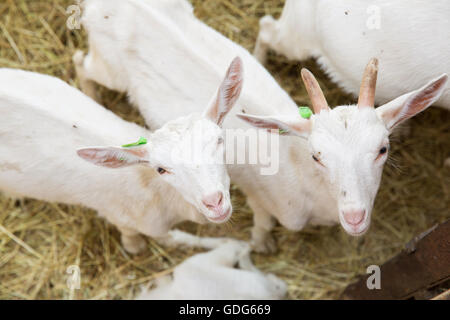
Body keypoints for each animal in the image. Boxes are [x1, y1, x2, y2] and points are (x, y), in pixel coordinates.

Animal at [0, 59, 243, 252]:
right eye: (161, 169)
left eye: (219, 140)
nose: (214, 202)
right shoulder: (138, 223)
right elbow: (171, 240)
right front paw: (233, 246)